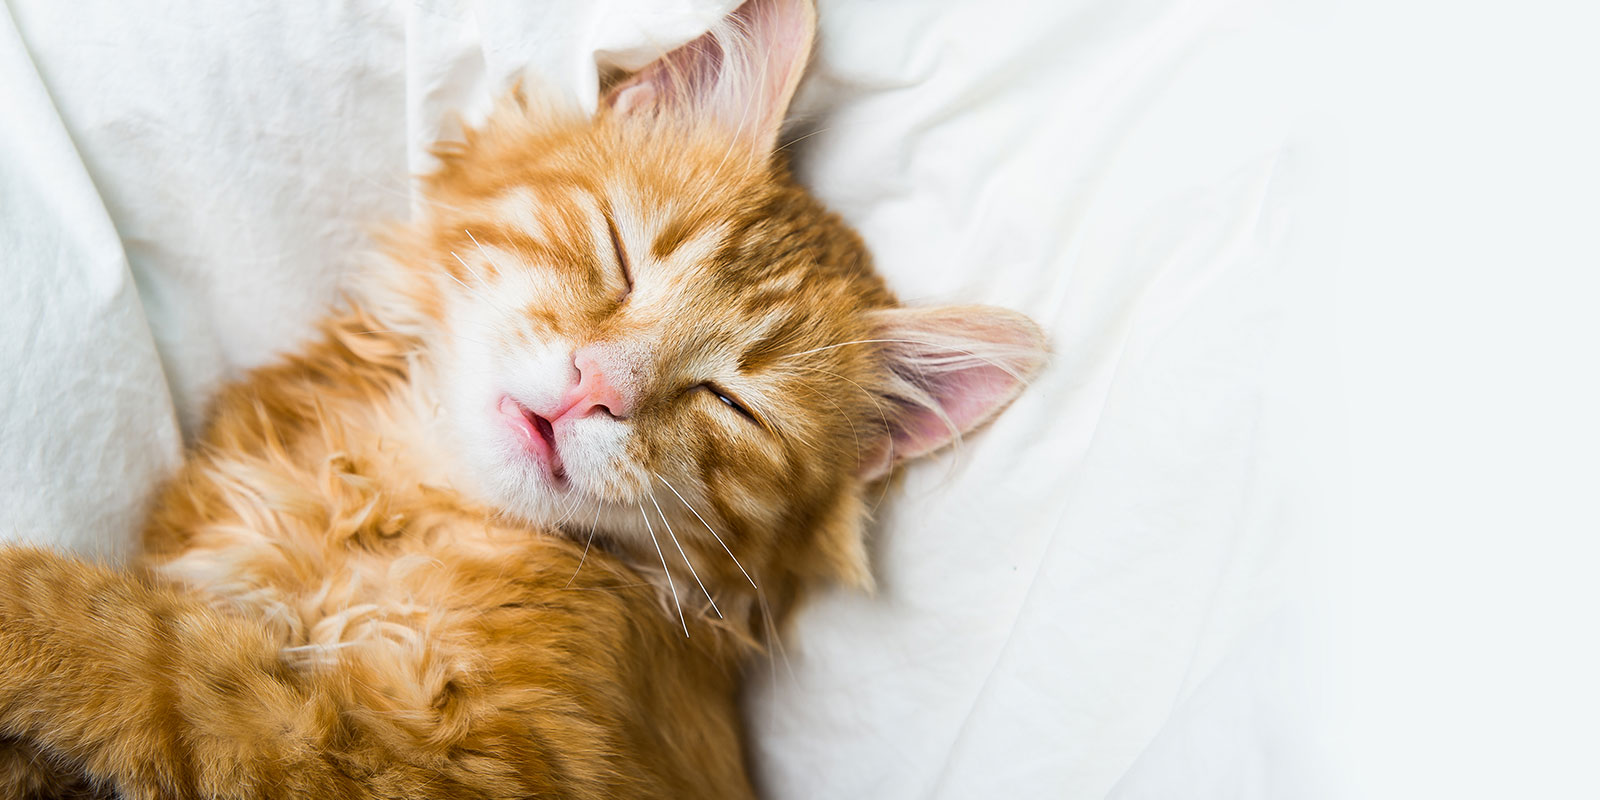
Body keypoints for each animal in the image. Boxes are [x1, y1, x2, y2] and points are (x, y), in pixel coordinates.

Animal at [0, 0, 1049, 796]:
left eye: (729, 402)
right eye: (621, 255)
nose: (596, 388)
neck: (397, 495)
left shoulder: (442, 768)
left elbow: (171, 666)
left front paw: (29, 607)